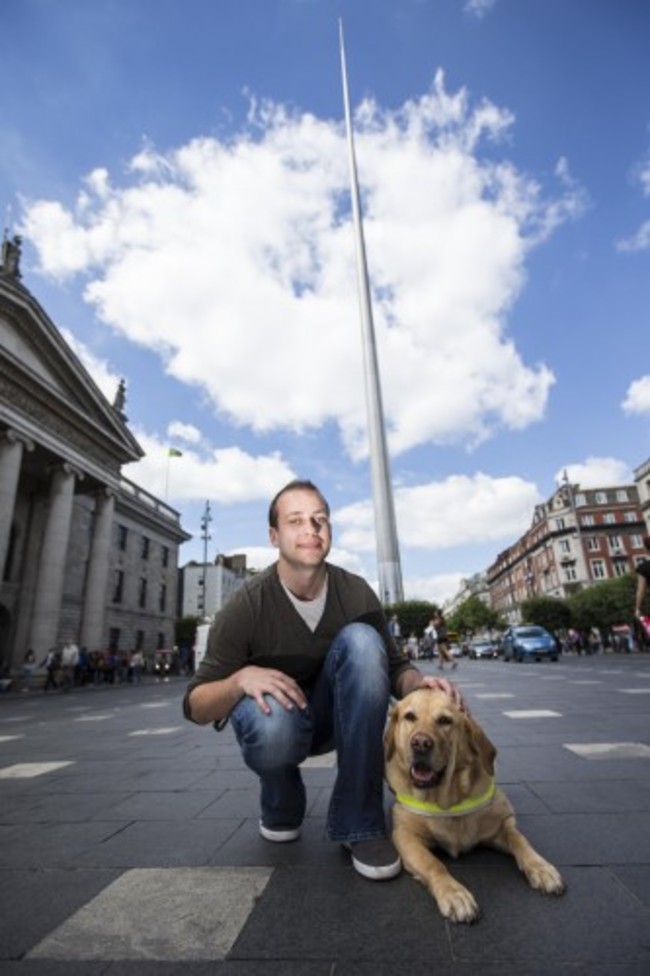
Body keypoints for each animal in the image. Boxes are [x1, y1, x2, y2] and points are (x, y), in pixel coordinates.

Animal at [384, 688, 560, 924]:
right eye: (410, 716)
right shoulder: (405, 836)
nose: (420, 743)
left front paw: (541, 867)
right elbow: (433, 863)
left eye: (445, 720)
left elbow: (519, 839)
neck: (446, 801)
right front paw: (453, 893)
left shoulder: (502, 825)